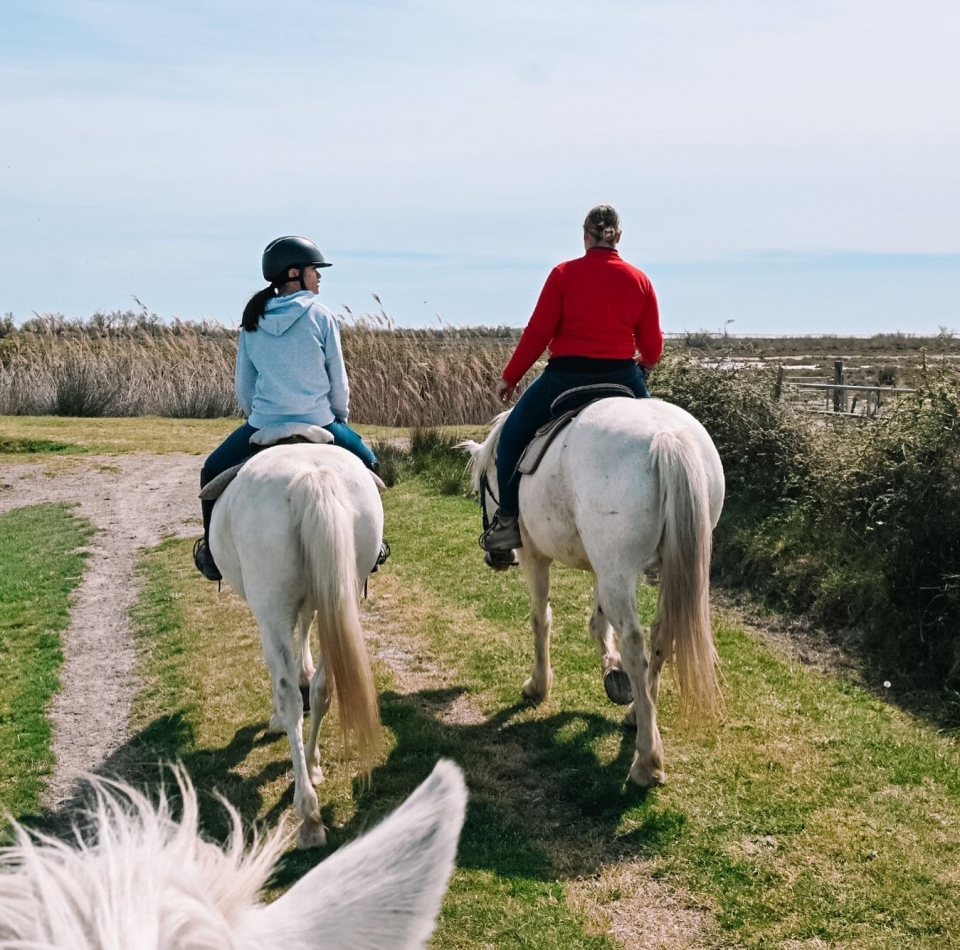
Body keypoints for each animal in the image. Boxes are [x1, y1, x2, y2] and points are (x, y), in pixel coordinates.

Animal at [209, 443, 385, 848]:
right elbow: (306, 632)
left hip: (272, 607)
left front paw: (275, 717)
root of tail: (311, 477)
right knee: (323, 688)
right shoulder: (314, 599)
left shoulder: (270, 616)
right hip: (340, 591)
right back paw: (314, 765)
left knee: (290, 696)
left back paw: (307, 811)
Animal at [463, 397, 725, 787]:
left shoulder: (535, 555)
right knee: (662, 636)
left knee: (635, 642)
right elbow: (598, 623)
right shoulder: (600, 566)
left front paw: (539, 684)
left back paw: (647, 759)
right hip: (658, 566)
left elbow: (541, 618)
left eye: (483, 485)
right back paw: (638, 714)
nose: (497, 556)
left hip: (616, 567)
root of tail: (666, 437)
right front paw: (611, 670)